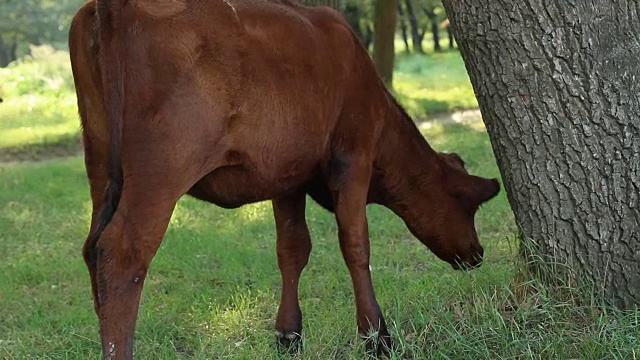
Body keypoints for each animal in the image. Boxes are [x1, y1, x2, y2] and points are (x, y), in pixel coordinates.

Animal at [70, 1, 500, 358]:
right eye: (470, 204)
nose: (477, 253)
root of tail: (111, 6)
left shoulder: (286, 177)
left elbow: (292, 248)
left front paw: (288, 335)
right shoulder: (352, 155)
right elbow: (355, 244)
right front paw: (377, 336)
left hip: (100, 163)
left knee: (93, 248)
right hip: (163, 167)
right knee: (122, 250)